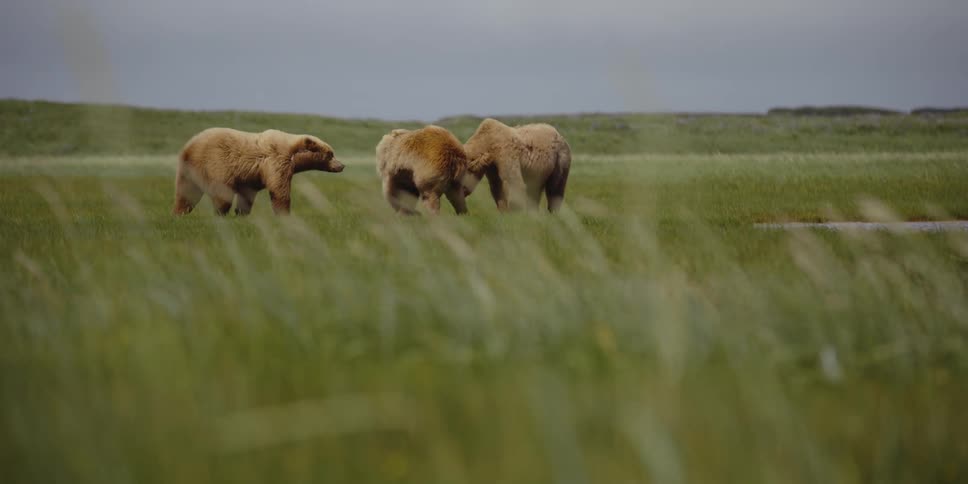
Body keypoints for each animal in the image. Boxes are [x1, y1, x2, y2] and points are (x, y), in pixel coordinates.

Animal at [173, 128, 344, 216]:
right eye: (330, 154)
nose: (342, 165)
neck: (293, 154)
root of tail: (189, 146)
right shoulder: (277, 161)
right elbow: (279, 189)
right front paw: (284, 214)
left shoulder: (251, 178)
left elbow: (247, 194)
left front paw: (242, 213)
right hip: (216, 163)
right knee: (222, 194)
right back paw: (220, 213)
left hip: (188, 169)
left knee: (186, 193)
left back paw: (179, 213)